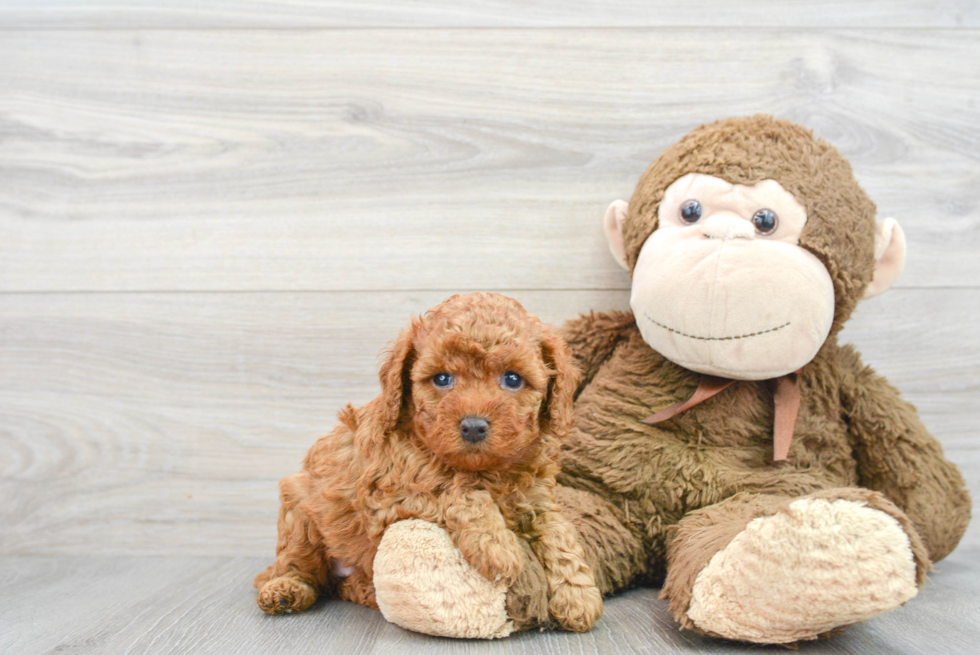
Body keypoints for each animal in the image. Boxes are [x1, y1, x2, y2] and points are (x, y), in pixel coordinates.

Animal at [256, 292, 600, 632]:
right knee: (296, 565)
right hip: (299, 511)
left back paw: (364, 590)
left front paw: (579, 596)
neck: (484, 470)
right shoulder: (386, 493)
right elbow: (453, 488)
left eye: (513, 379)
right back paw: (286, 590)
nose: (473, 426)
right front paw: (497, 546)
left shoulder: (537, 500)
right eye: (442, 378)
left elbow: (560, 535)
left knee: (342, 585)